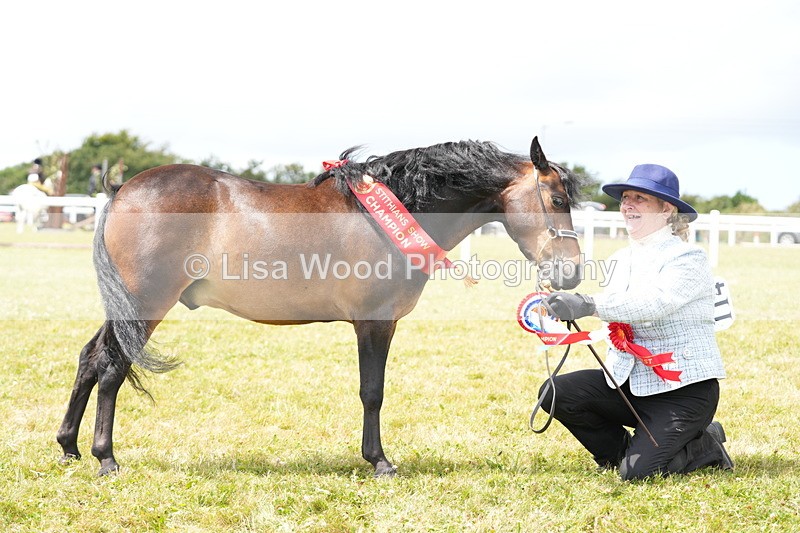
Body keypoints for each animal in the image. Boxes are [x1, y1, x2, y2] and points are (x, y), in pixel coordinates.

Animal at [57, 136, 584, 477]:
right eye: (557, 199)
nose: (572, 273)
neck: (392, 212)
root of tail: (121, 190)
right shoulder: (375, 322)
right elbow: (372, 391)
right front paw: (379, 461)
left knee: (90, 359)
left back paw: (69, 447)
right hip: (144, 304)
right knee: (112, 368)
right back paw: (106, 458)